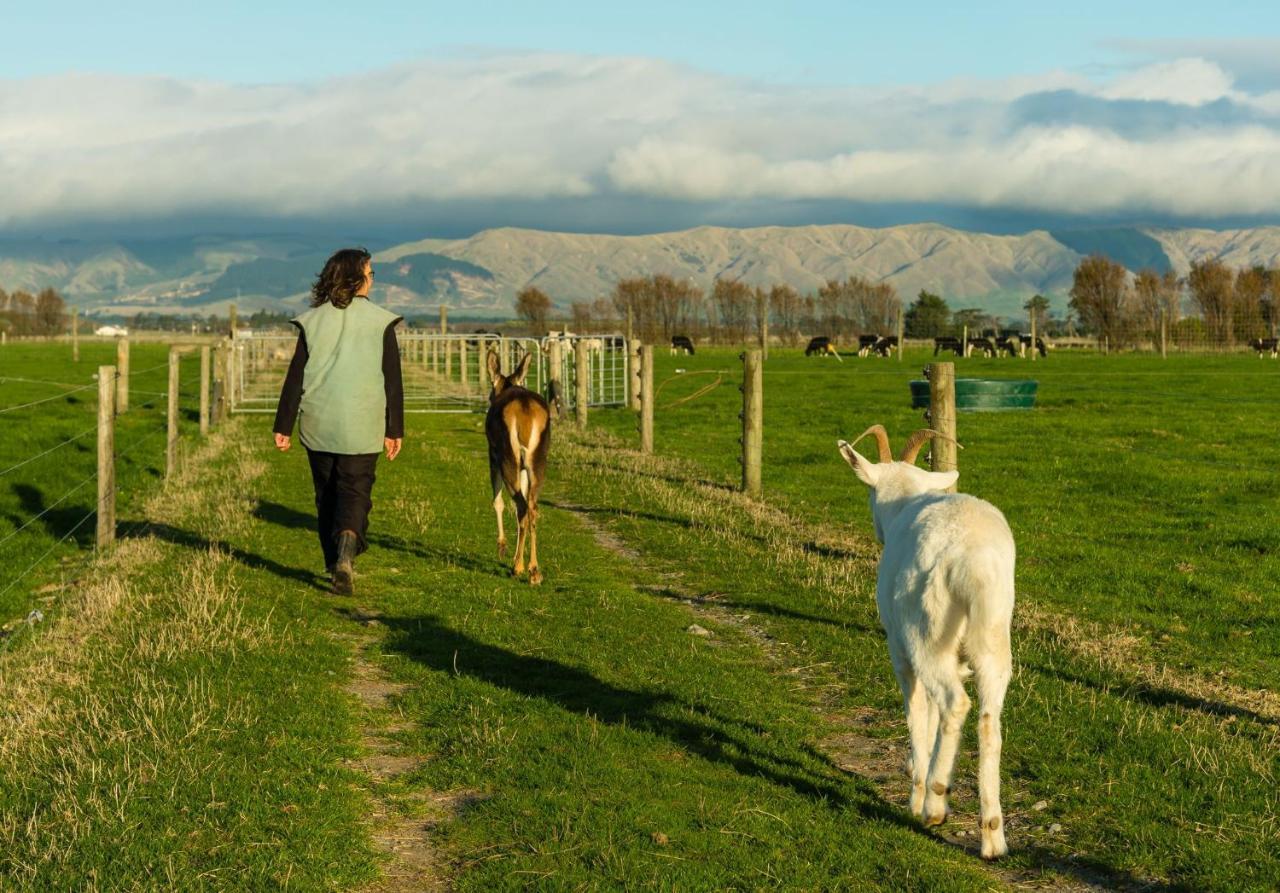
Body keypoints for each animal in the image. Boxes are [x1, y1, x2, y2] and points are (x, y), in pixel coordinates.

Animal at [483, 347, 550, 583]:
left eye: (490, 391)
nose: (490, 398)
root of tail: (526, 412)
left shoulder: (492, 455)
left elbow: (498, 501)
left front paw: (502, 547)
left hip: (507, 456)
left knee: (521, 505)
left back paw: (519, 567)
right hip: (537, 460)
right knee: (532, 507)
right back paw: (534, 569)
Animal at [834, 424, 1013, 854]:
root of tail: (972, 562)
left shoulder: (900, 651)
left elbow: (918, 714)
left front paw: (916, 793)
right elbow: (930, 716)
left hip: (926, 635)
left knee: (955, 703)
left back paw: (933, 803)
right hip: (993, 638)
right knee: (988, 720)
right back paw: (992, 836)